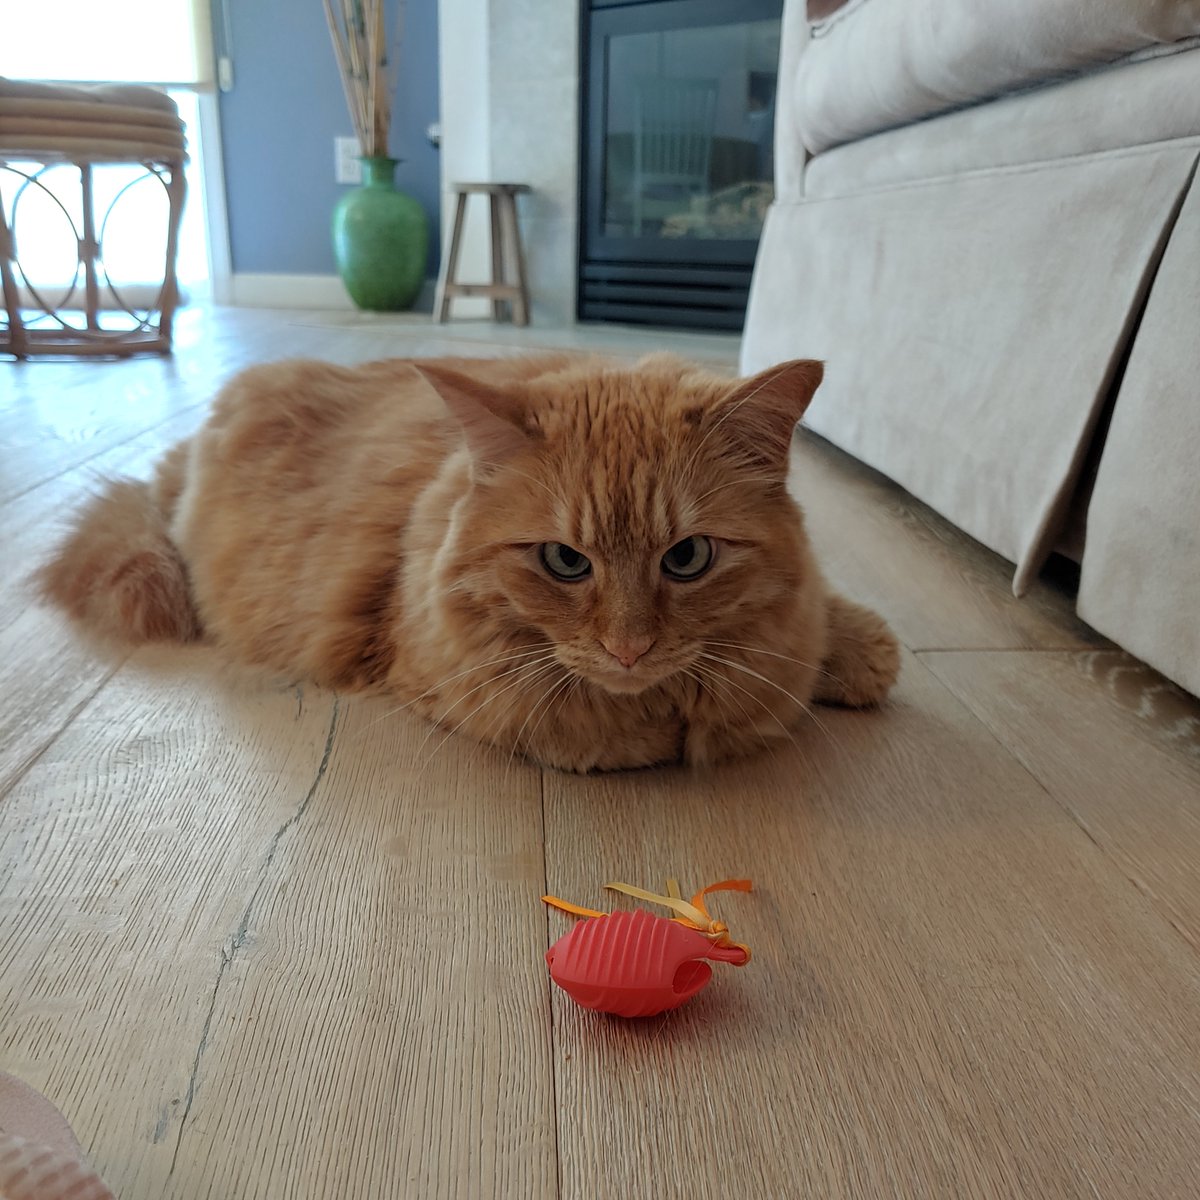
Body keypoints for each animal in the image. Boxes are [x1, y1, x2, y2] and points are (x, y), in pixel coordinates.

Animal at [37, 350, 897, 772]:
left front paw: (851, 653)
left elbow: (840, 638)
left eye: (687, 557)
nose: (629, 650)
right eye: (564, 562)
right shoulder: (458, 680)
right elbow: (601, 730)